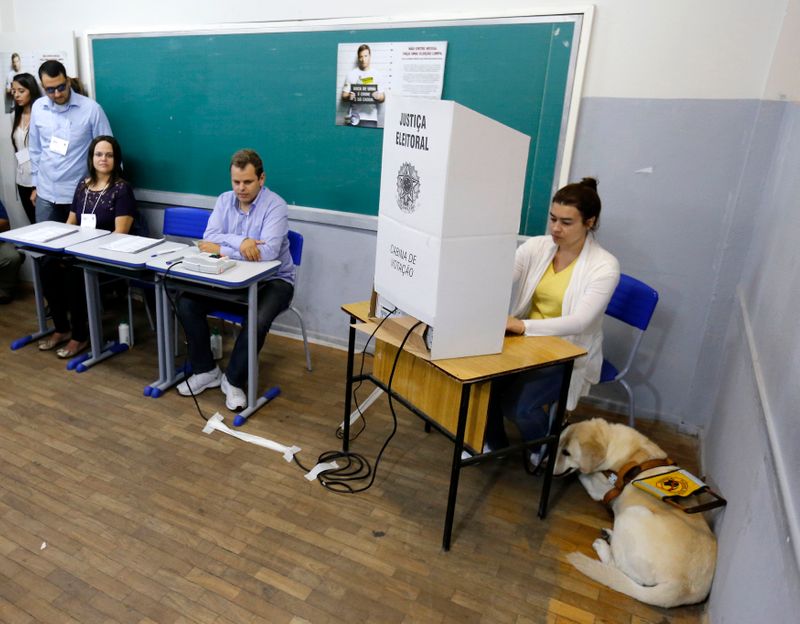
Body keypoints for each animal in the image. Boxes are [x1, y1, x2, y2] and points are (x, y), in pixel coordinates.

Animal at [552, 416, 716, 608]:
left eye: (566, 453)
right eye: (558, 445)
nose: (546, 464)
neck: (612, 444)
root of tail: (683, 587)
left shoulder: (599, 489)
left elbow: (582, 474)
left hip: (632, 514)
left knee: (621, 569)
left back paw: (603, 546)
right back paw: (609, 535)